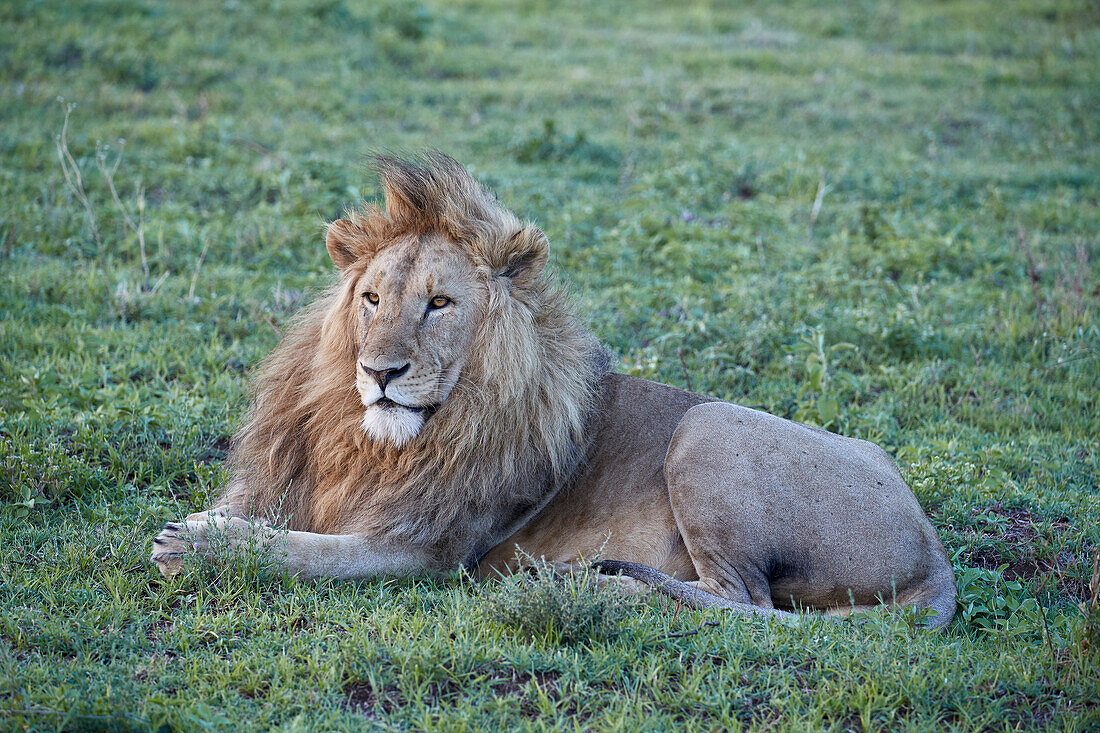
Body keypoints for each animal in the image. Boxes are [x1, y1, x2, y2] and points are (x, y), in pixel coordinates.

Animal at [150, 150, 959, 625]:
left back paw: (574, 586)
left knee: (739, 598)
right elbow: (262, 511)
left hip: (709, 428)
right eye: (372, 299)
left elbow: (308, 552)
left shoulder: (431, 551)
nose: (380, 373)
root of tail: (934, 551)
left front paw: (198, 546)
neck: (376, 443)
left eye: (440, 304)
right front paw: (210, 526)